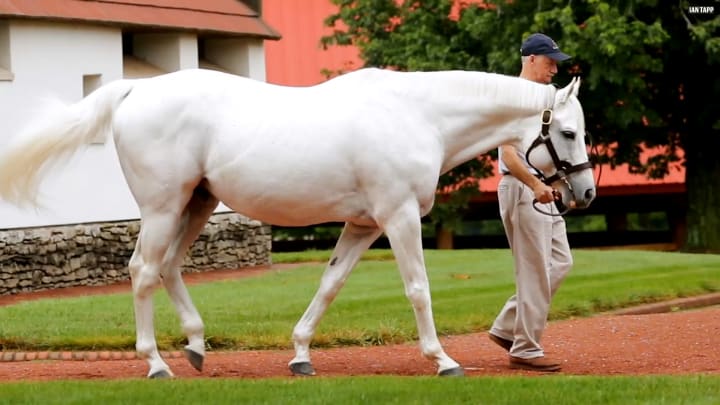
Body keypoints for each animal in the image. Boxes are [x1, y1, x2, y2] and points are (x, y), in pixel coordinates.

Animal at [0, 68, 596, 378]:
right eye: (567, 133)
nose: (585, 192)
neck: (417, 115)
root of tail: (137, 89)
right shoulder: (398, 215)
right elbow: (418, 289)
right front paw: (443, 359)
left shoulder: (363, 225)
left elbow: (330, 284)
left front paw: (302, 354)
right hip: (164, 207)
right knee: (144, 271)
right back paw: (155, 364)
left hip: (196, 204)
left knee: (167, 268)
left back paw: (195, 346)